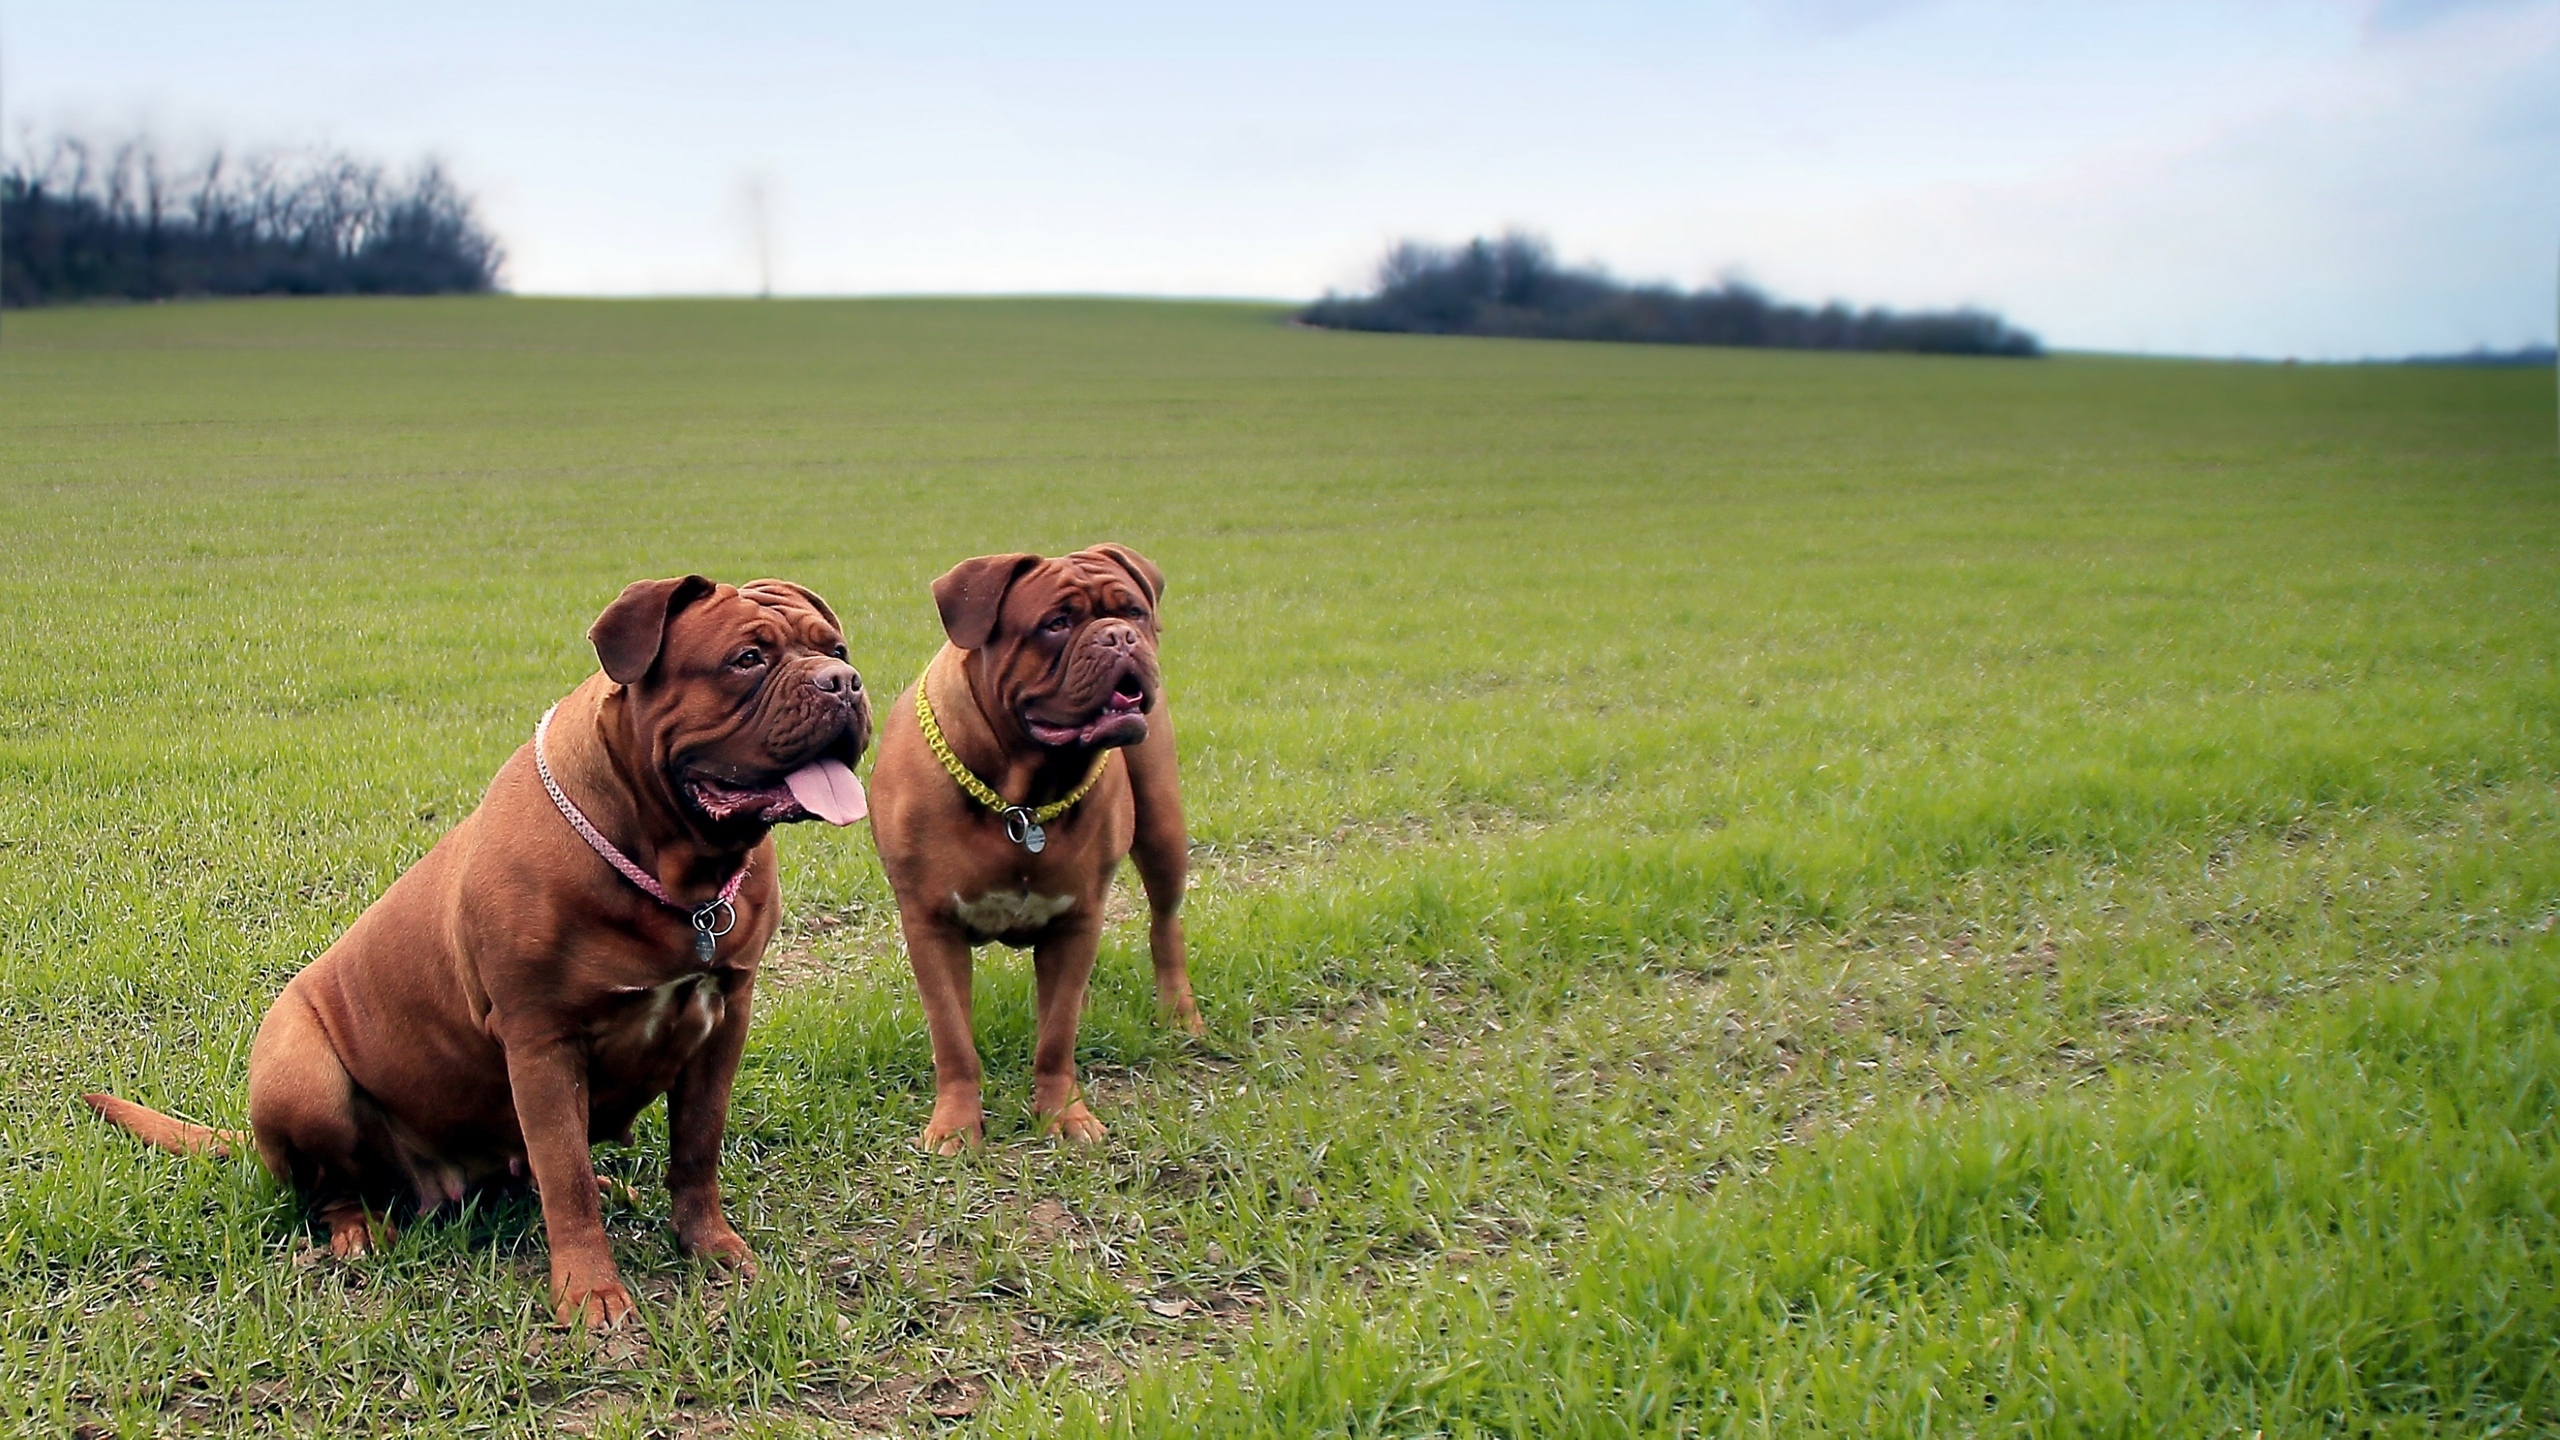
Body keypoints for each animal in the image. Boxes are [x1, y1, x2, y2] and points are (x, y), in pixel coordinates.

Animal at [87, 571, 870, 1322]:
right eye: (747, 660)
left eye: (835, 648)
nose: (843, 682)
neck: (674, 869)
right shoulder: (541, 1041)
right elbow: (565, 1177)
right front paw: (591, 1295)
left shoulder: (723, 1019)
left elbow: (696, 1148)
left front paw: (709, 1246)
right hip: (300, 1071)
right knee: (334, 1189)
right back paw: (357, 1230)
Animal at [870, 543, 1198, 1147]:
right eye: (1057, 623)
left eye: (1134, 611)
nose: (1118, 635)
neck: (1024, 795)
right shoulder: (931, 924)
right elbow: (953, 1038)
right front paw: (955, 1128)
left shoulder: (1078, 917)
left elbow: (1056, 1036)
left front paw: (1065, 1116)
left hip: (1163, 828)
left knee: (1165, 924)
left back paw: (1180, 1014)